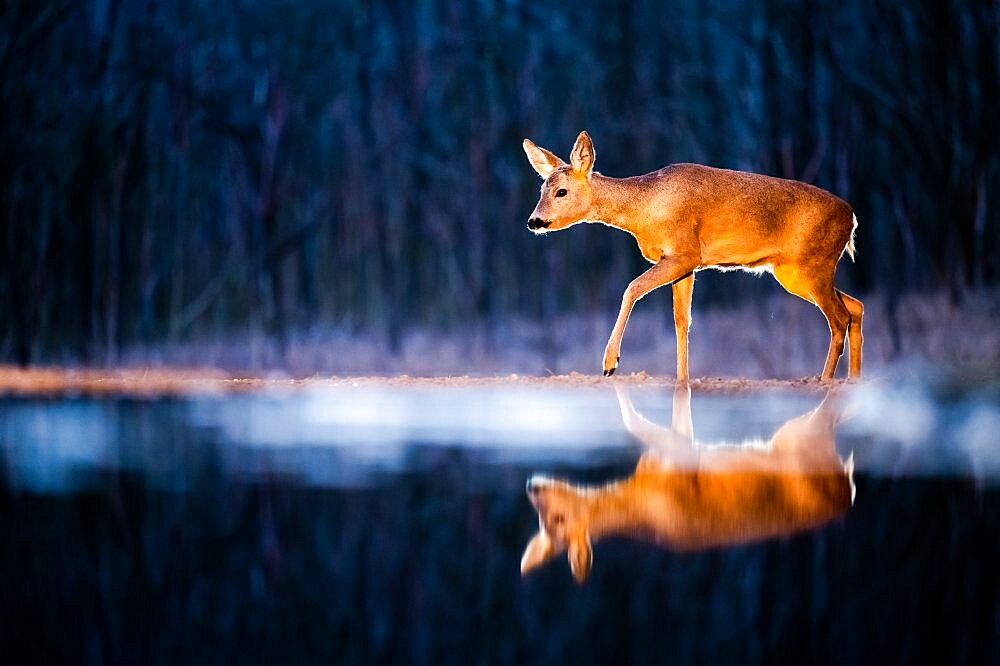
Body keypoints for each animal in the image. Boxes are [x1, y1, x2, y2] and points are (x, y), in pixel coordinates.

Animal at [520, 130, 864, 378]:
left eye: (561, 192)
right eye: (541, 189)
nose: (534, 221)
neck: (644, 208)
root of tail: (851, 217)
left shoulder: (686, 253)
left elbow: (632, 288)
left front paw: (610, 362)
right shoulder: (682, 263)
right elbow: (681, 320)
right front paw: (682, 379)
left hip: (812, 264)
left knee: (839, 317)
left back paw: (824, 380)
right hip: (796, 272)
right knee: (855, 307)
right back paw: (852, 380)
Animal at [520, 384, 856, 580]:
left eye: (559, 518)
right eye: (539, 519)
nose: (532, 486)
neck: (638, 499)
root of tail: (848, 489)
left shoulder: (678, 458)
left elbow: (636, 423)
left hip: (801, 439)